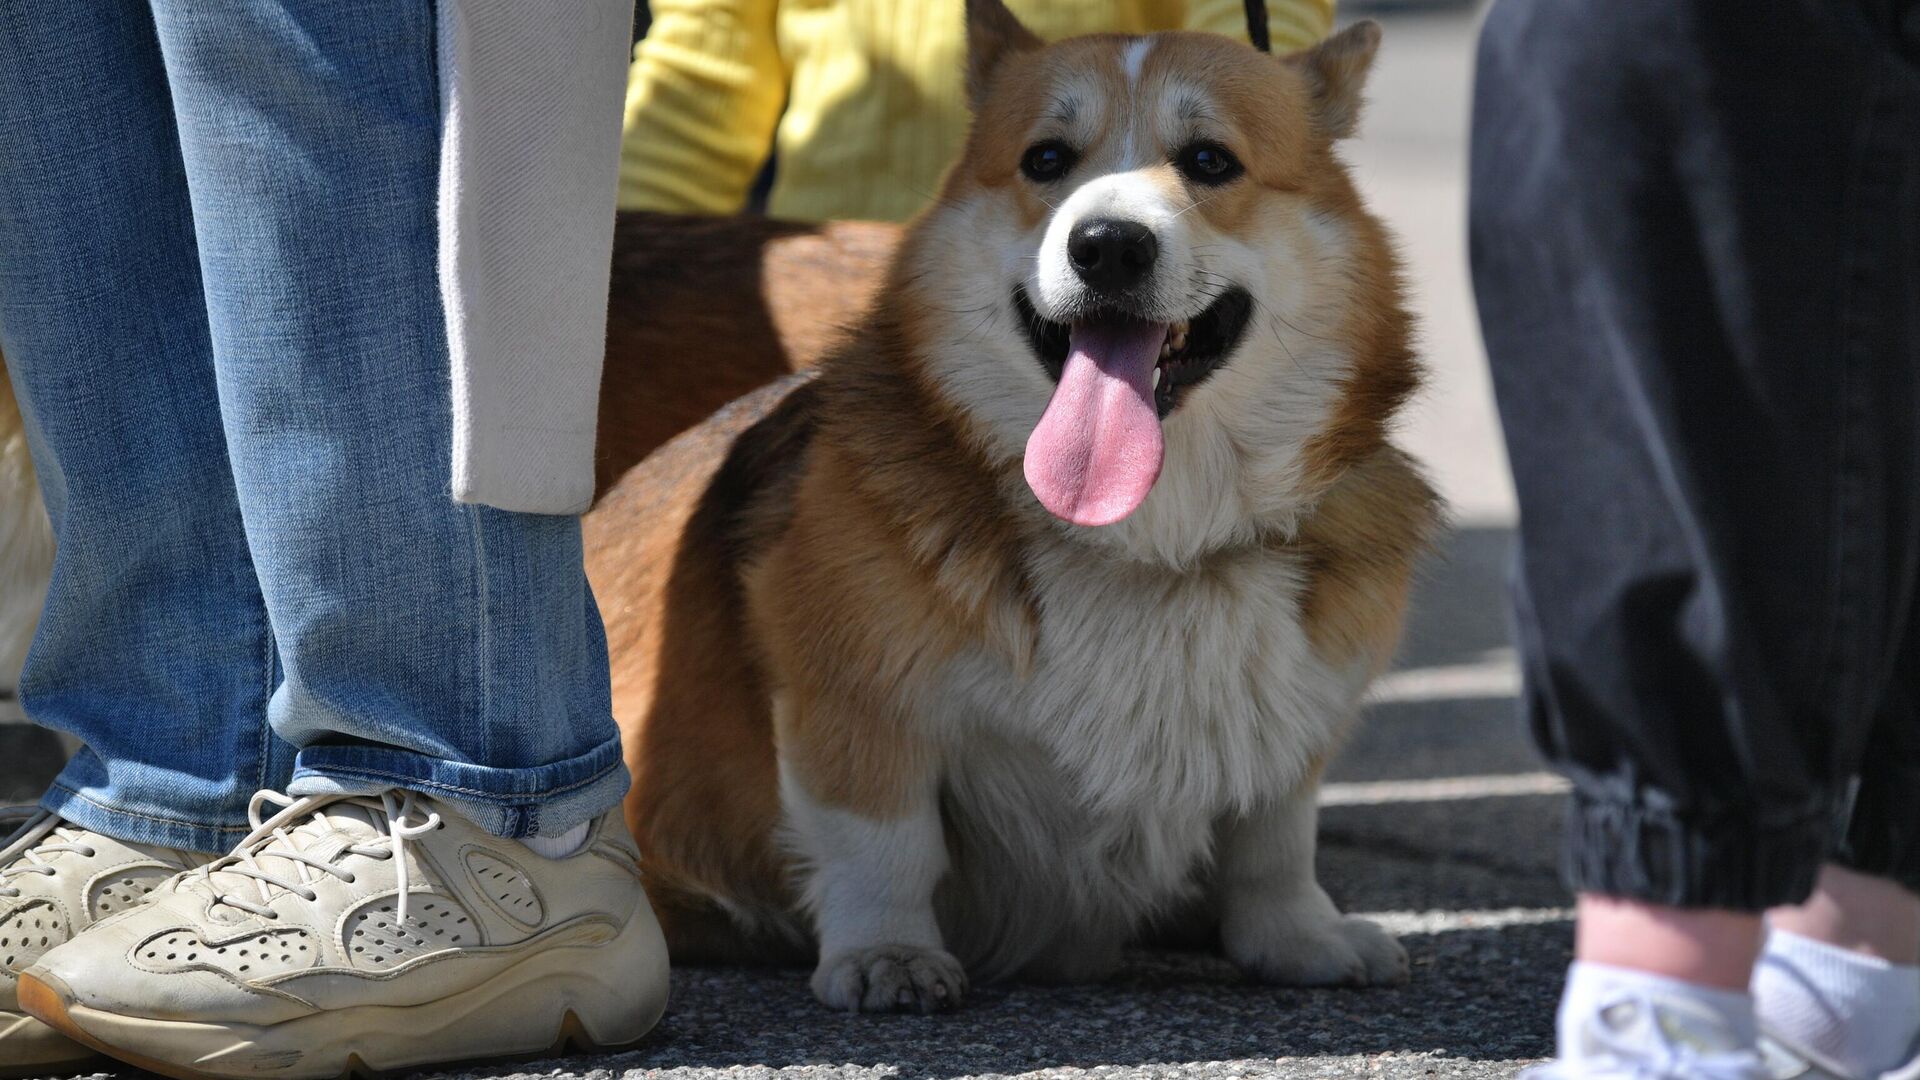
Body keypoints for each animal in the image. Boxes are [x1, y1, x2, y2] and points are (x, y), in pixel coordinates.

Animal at [587, 0, 1443, 1006]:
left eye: (1209, 161)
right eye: (1045, 160)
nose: (1107, 245)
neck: (1146, 547)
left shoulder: (1292, 721)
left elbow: (1273, 838)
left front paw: (1299, 938)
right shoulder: (851, 695)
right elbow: (884, 841)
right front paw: (888, 954)